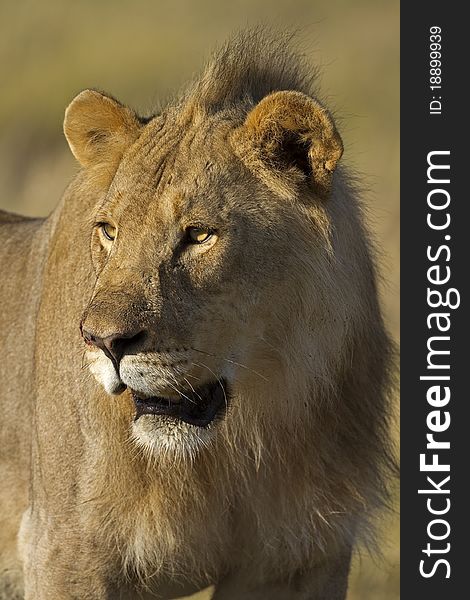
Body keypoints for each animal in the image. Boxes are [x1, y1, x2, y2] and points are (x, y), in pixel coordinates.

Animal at [0, 30, 392, 596]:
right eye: (109, 231)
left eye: (199, 235)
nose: (102, 341)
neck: (229, 452)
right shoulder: (64, 551)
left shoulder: (299, 559)